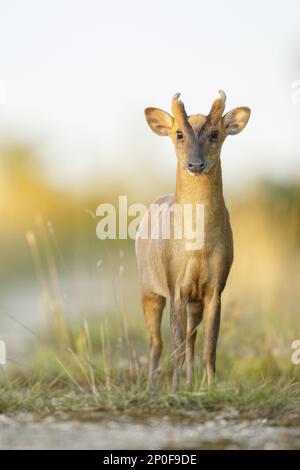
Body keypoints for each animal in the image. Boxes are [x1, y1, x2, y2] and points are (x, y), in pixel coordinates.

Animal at [135, 92, 250, 390]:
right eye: (179, 134)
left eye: (214, 133)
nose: (195, 164)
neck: (197, 247)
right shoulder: (174, 284)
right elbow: (174, 344)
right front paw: (175, 388)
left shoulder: (214, 288)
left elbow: (209, 345)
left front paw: (209, 387)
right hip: (149, 286)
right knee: (156, 341)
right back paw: (153, 385)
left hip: (193, 300)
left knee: (191, 339)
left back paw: (188, 381)